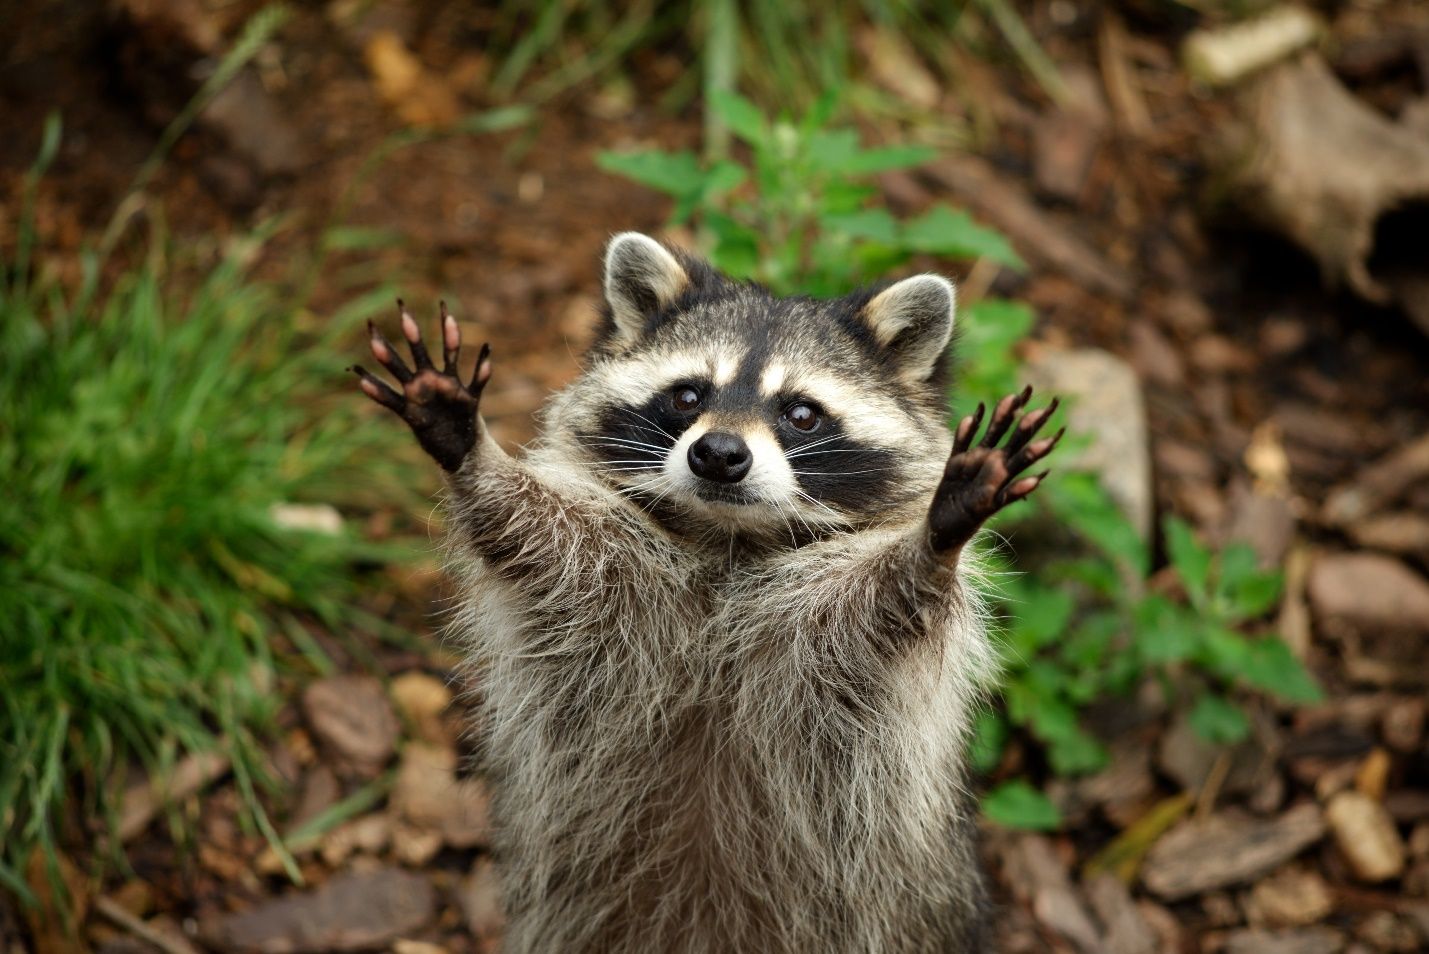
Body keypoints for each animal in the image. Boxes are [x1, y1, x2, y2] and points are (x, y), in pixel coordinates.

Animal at [348, 232, 1063, 954]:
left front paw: (935, 539)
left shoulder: (830, 633)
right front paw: (472, 453)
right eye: (689, 395)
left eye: (800, 413)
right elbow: (531, 534)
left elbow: (886, 604)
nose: (718, 453)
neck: (728, 540)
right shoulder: (607, 577)